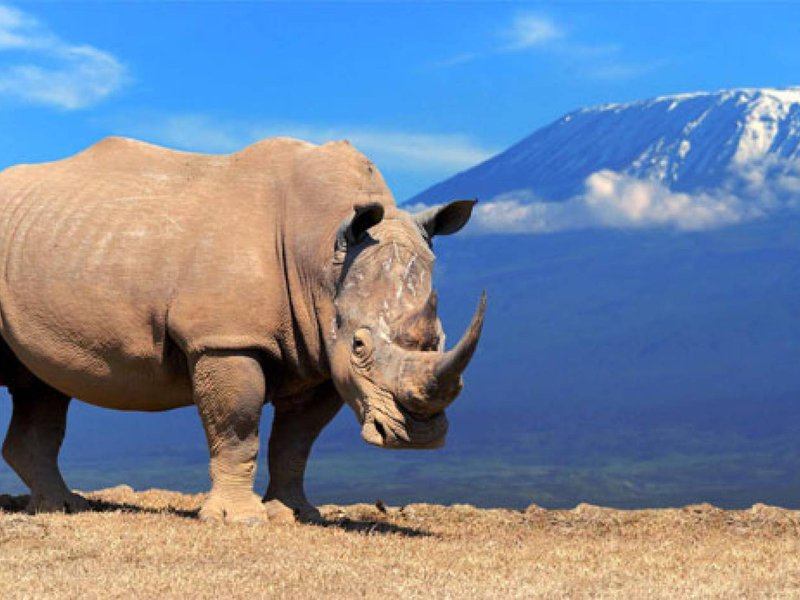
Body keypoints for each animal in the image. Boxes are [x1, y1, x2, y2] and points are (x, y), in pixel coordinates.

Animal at [0, 136, 485, 523]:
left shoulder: (319, 352)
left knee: (41, 386)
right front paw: (240, 519)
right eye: (360, 346)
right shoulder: (226, 340)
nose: (417, 437)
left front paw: (296, 514)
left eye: (440, 340)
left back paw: (62, 507)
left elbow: (296, 442)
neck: (323, 248)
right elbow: (237, 427)